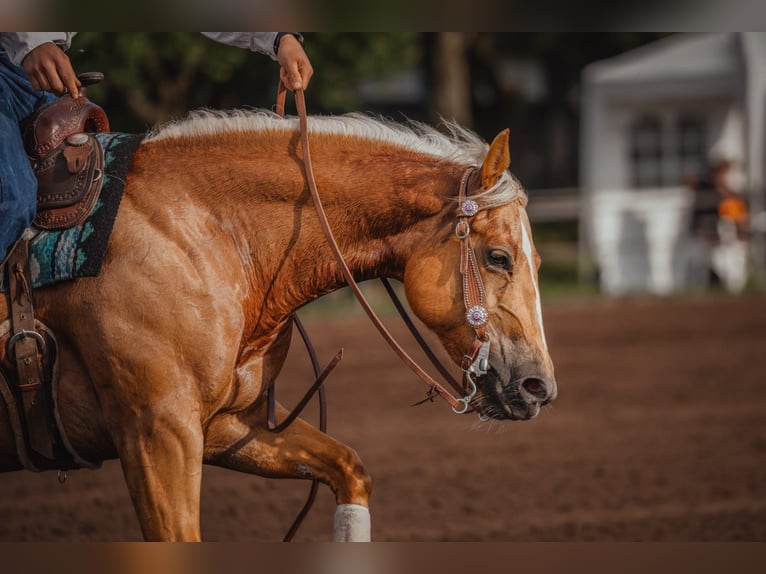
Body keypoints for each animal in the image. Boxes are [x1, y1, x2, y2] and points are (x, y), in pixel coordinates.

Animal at [0, 107, 556, 541]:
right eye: (499, 256)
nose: (539, 387)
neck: (206, 233)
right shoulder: (155, 429)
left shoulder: (228, 425)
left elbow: (350, 470)